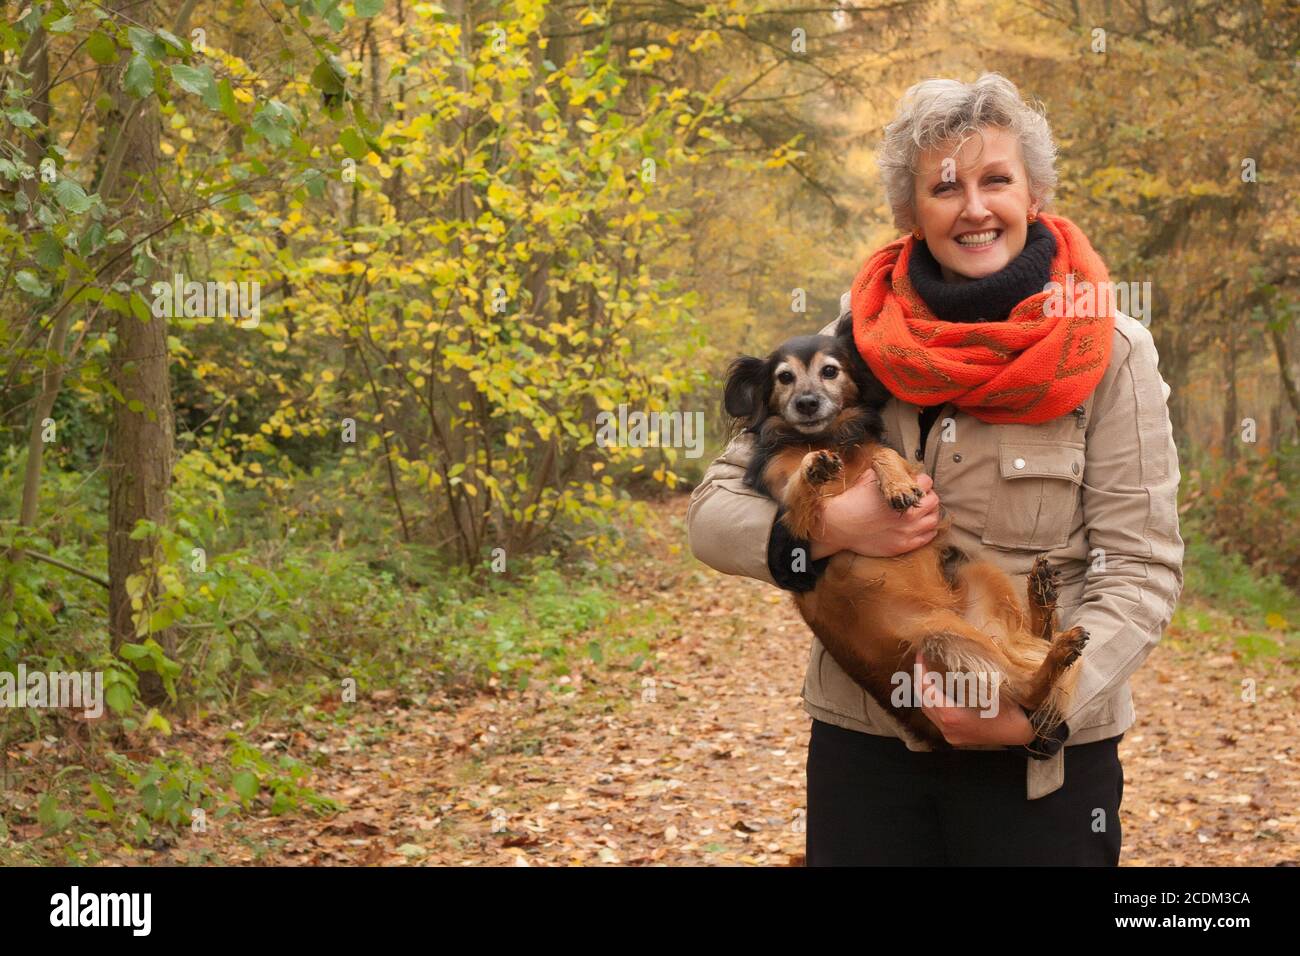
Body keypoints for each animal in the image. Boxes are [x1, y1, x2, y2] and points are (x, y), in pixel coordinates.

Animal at [722, 317, 1086, 749]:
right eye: (784, 377)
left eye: (830, 371)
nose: (807, 403)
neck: (827, 439)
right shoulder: (790, 512)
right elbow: (799, 485)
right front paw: (813, 467)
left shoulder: (887, 459)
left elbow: (883, 454)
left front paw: (896, 484)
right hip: (942, 636)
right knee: (1026, 690)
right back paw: (1054, 638)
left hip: (974, 585)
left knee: (1030, 667)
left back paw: (1044, 603)